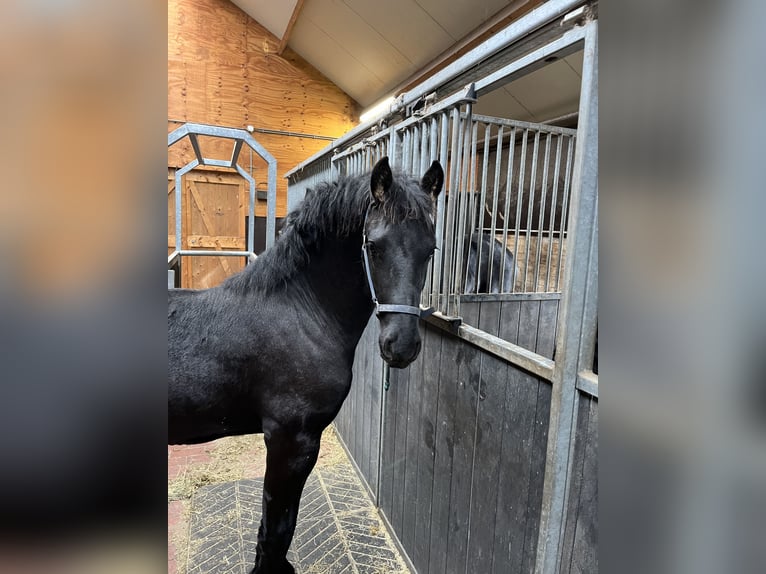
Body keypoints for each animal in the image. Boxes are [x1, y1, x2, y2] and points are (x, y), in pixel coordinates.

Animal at [168, 158, 444, 574]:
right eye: (373, 246)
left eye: (430, 250)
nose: (401, 345)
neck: (299, 314)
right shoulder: (291, 440)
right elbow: (277, 527)